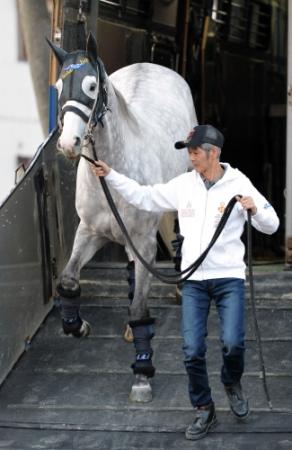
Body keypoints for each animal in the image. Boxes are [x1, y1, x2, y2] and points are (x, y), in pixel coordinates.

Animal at [49, 34, 197, 400]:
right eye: (58, 86)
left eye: (91, 85)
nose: (69, 143)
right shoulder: (90, 232)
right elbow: (69, 280)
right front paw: (77, 326)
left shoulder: (144, 243)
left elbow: (140, 309)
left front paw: (142, 376)